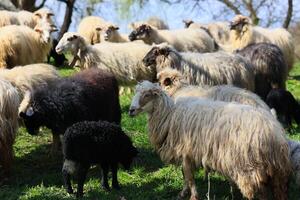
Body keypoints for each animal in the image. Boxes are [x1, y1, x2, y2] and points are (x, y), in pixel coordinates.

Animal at [128, 81, 290, 200]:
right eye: (135, 93)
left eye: (147, 94)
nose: (130, 110)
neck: (170, 114)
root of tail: (273, 131)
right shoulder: (188, 153)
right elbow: (186, 176)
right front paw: (185, 193)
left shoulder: (185, 151)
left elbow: (189, 177)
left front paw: (191, 195)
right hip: (276, 172)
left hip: (249, 168)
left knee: (260, 193)